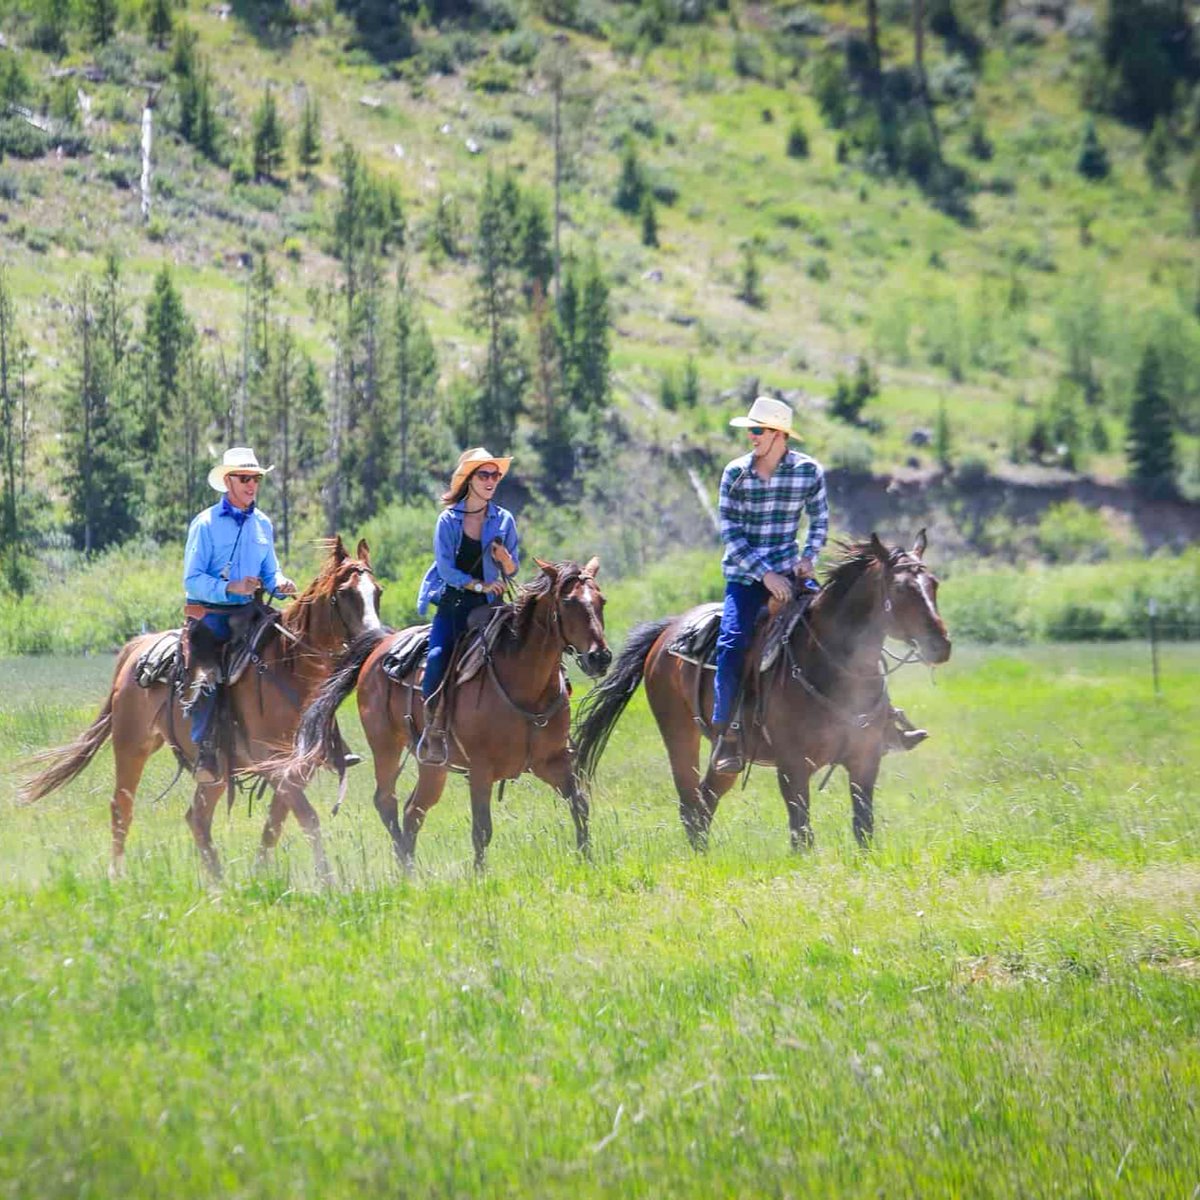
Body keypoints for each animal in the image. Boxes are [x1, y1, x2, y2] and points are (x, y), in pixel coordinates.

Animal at [19, 536, 382, 883]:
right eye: (345, 594)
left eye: (377, 592)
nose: (376, 638)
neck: (286, 668)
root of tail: (137, 646)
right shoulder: (274, 763)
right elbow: (308, 818)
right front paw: (328, 882)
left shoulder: (296, 768)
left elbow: (275, 824)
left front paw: (259, 875)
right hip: (131, 746)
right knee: (122, 807)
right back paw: (117, 876)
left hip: (215, 771)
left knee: (197, 818)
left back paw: (219, 882)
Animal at [285, 557, 612, 870]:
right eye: (568, 602)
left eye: (601, 601)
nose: (600, 657)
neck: (523, 684)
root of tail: (380, 645)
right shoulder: (480, 771)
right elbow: (482, 829)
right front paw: (480, 876)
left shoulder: (553, 762)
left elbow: (579, 805)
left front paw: (587, 860)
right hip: (385, 746)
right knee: (386, 802)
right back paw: (405, 867)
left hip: (432, 765)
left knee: (413, 810)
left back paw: (409, 865)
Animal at [572, 532, 951, 851]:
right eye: (900, 590)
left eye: (933, 584)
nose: (940, 646)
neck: (830, 665)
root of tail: (667, 631)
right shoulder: (793, 767)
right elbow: (802, 834)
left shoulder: (864, 760)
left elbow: (863, 828)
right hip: (679, 735)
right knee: (690, 805)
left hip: (725, 760)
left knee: (705, 802)